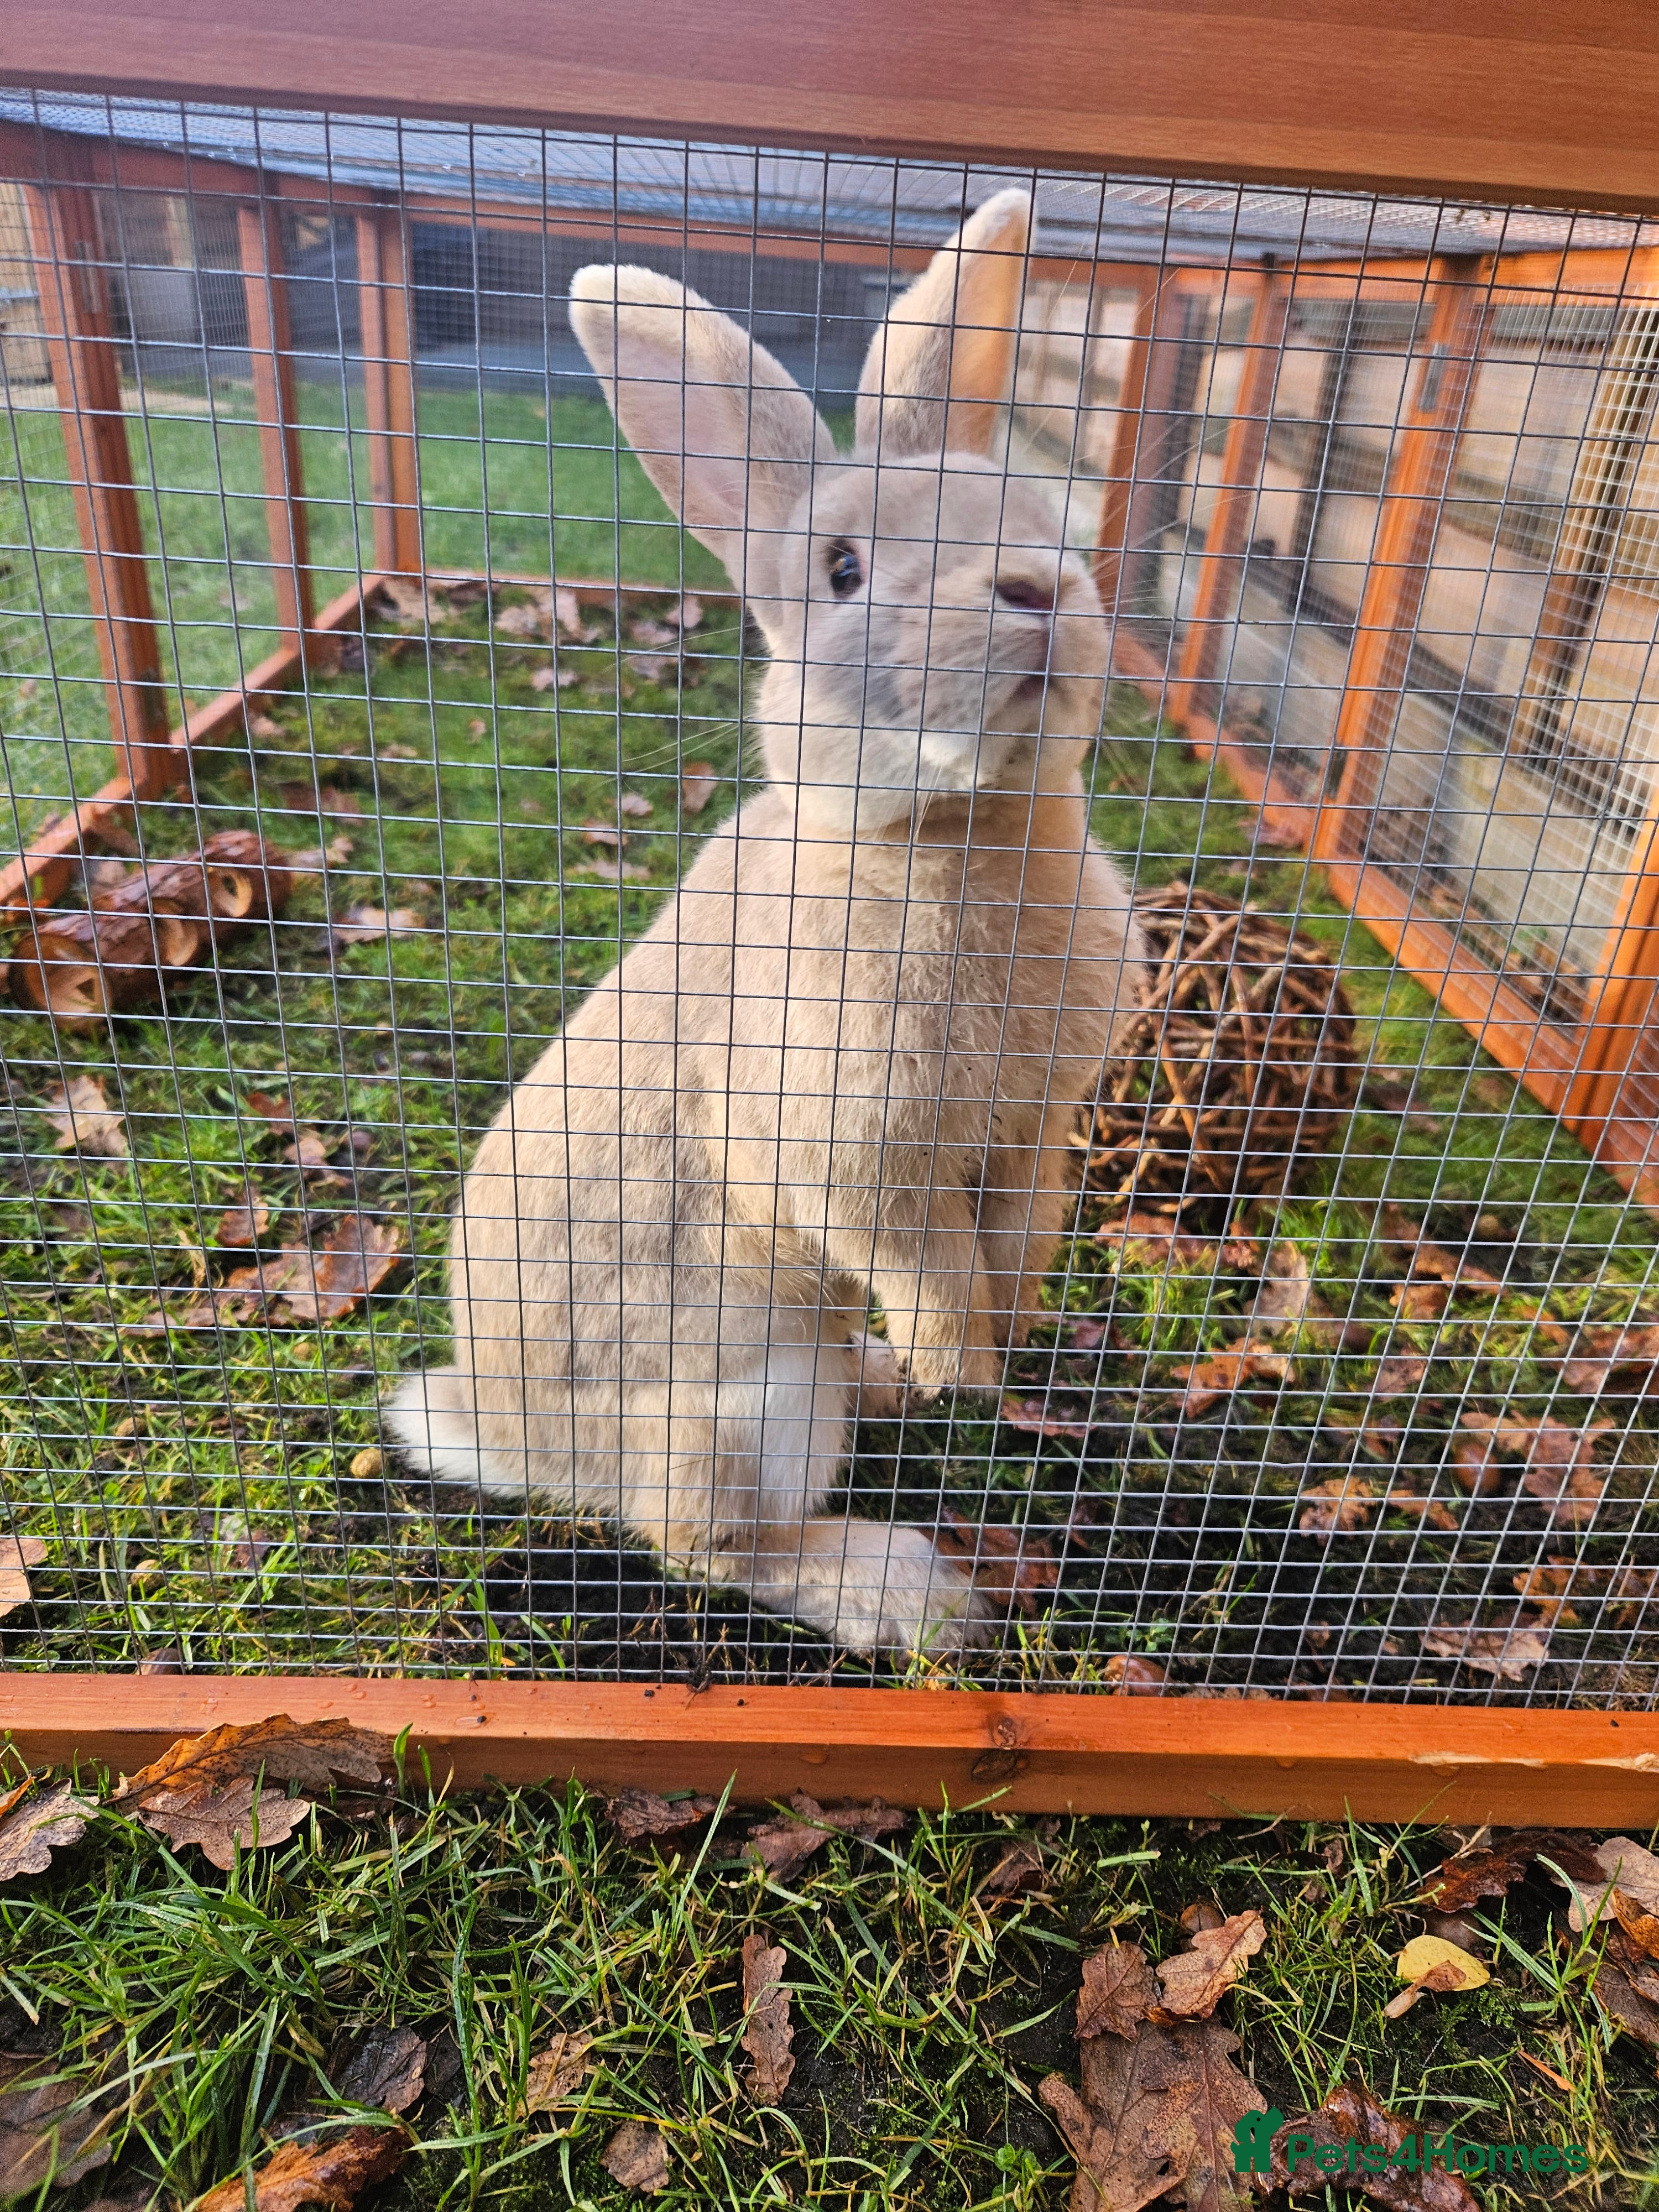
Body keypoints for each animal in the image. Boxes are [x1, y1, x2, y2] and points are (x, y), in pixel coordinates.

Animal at [385, 188, 1147, 1656]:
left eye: (1038, 511)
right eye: (843, 570)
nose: (1034, 588)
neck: (948, 832)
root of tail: (507, 1435)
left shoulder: (1031, 1129)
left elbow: (1016, 1236)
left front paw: (1002, 1342)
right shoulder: (850, 1158)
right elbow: (929, 1263)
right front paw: (965, 1366)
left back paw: (891, 1389)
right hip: (748, 1404)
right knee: (705, 1543)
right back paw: (910, 1587)